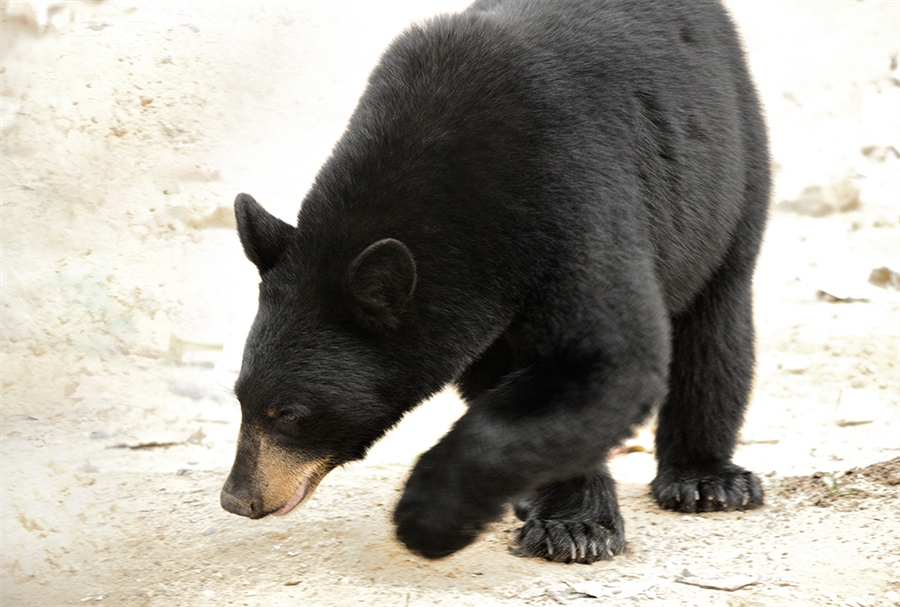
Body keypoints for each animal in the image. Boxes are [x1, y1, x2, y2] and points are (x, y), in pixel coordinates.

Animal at [221, 0, 768, 564]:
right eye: (240, 398)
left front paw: (433, 518)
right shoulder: (477, 312)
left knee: (716, 328)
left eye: (290, 413)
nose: (238, 499)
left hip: (727, 174)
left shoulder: (573, 197)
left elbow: (607, 362)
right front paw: (567, 518)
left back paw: (705, 478)